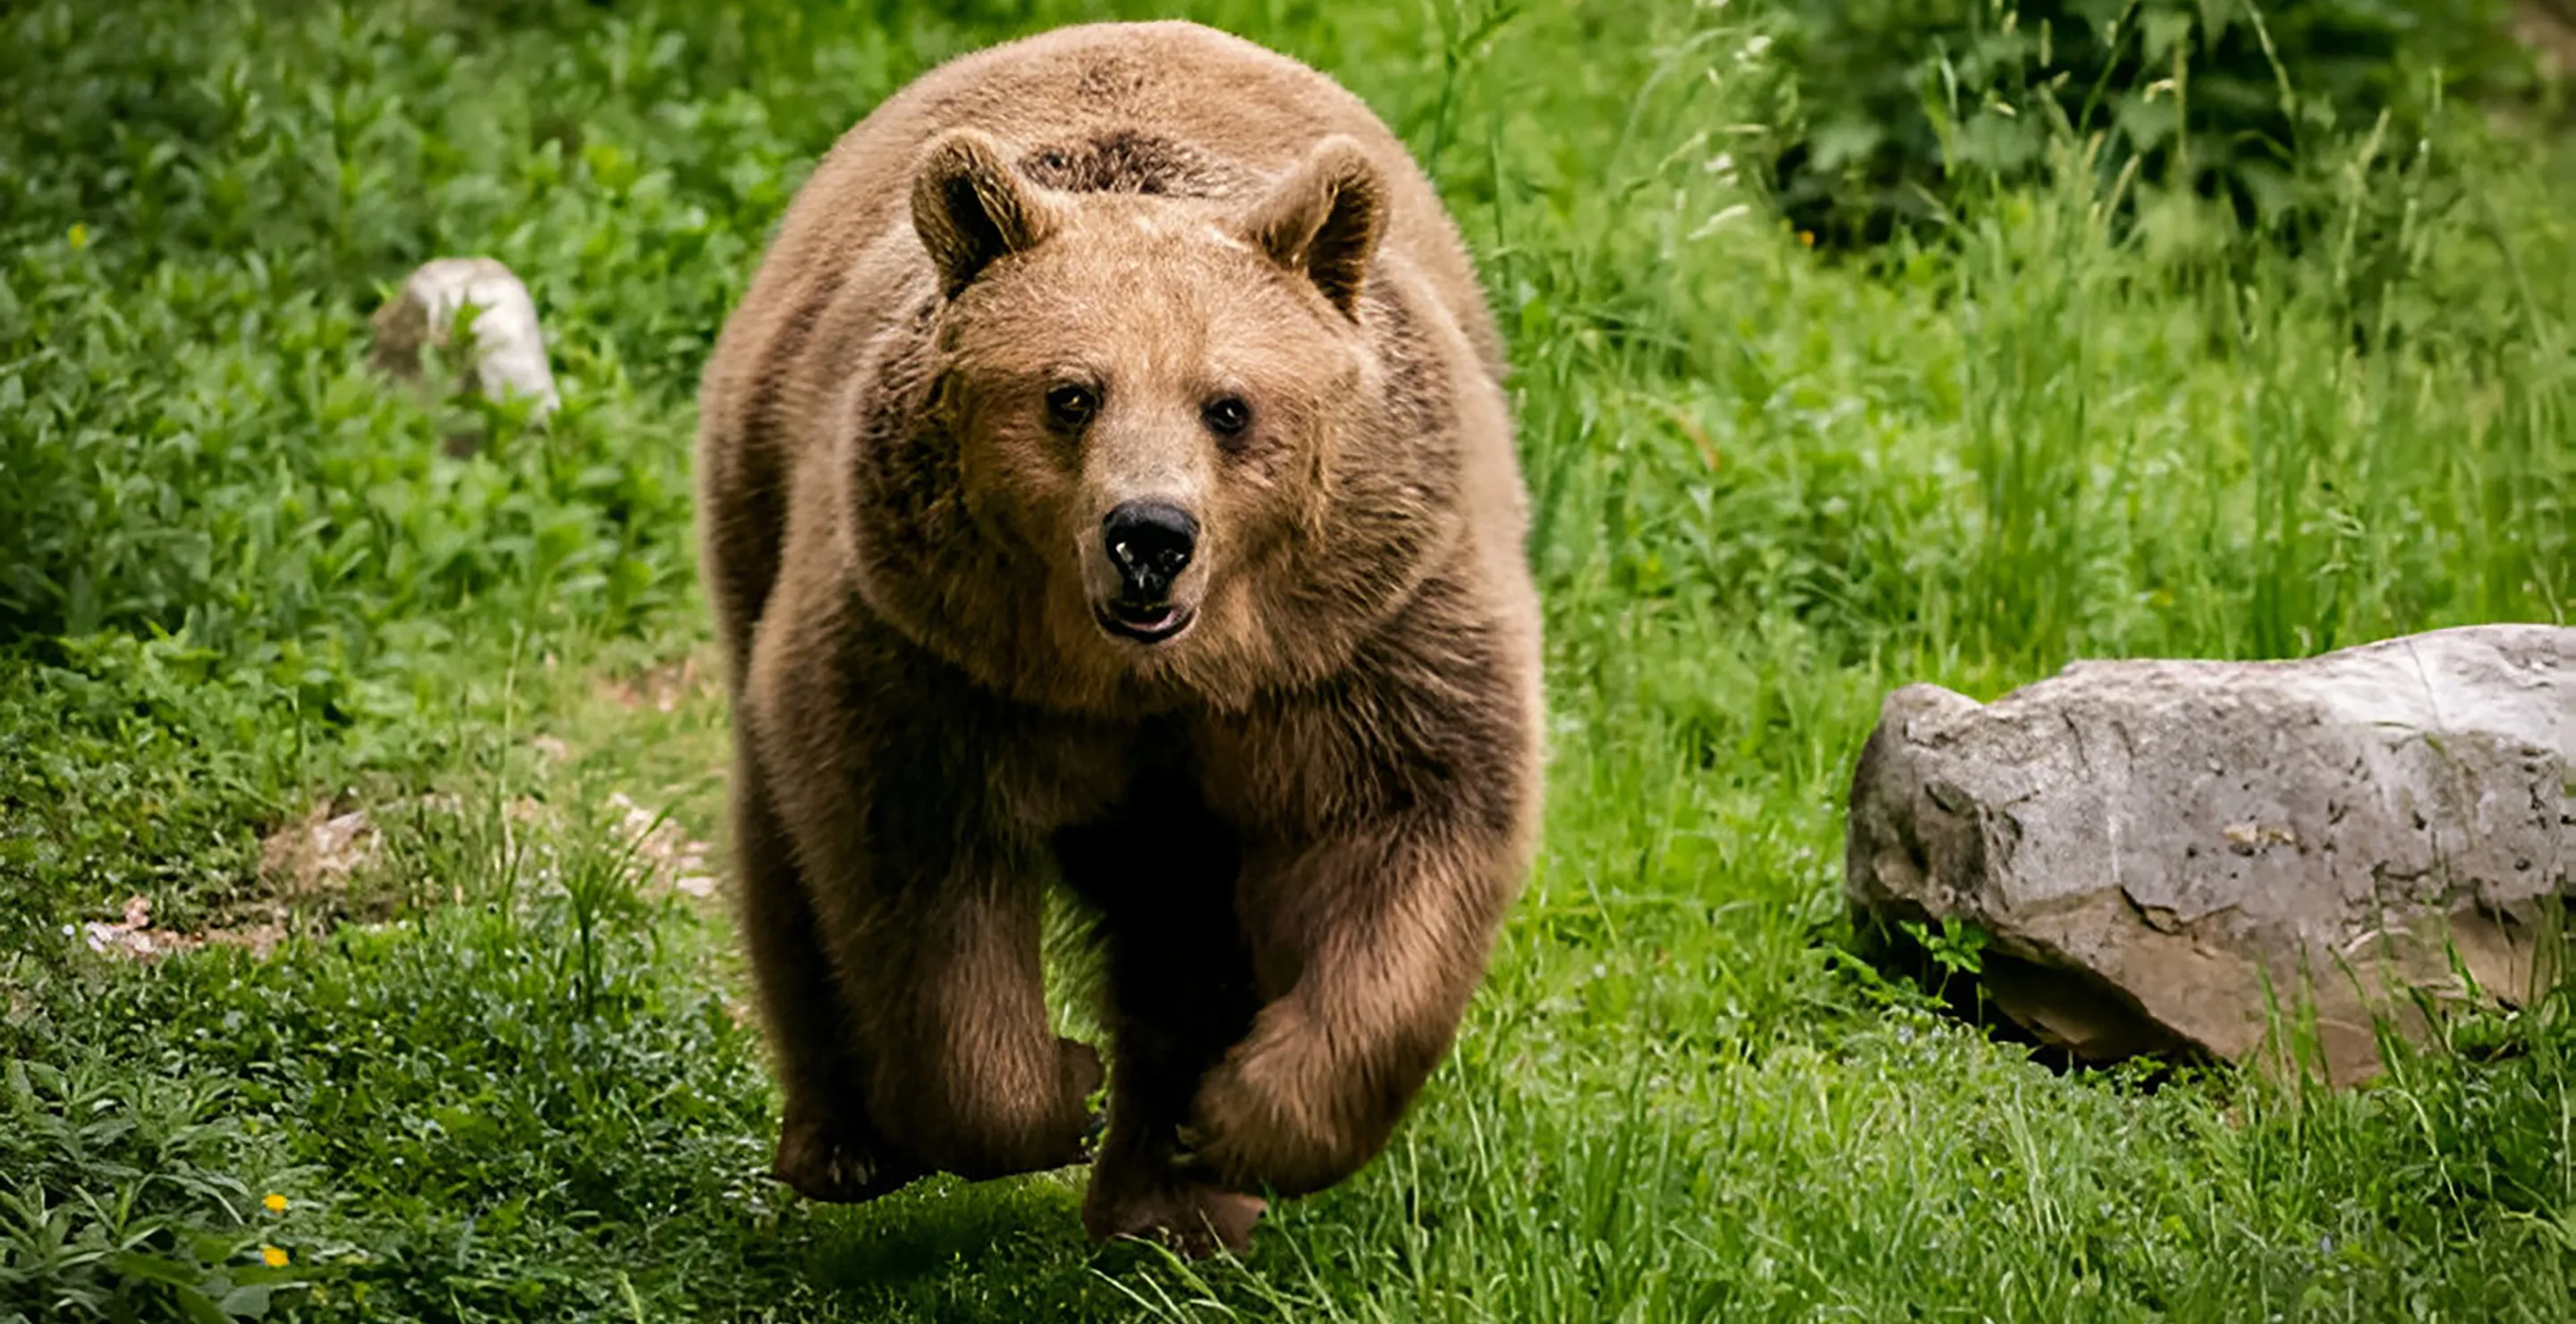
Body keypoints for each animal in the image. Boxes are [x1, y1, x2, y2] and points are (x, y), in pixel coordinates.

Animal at [695, 21, 1535, 1252]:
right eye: (1070, 395)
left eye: (1228, 405)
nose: (1150, 536)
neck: (1147, 679)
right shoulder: (938, 653)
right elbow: (917, 874)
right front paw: (1057, 1087)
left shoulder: (1358, 638)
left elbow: (1410, 823)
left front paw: (1242, 1115)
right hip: (764, 516)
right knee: (787, 854)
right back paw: (848, 1144)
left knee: (1184, 924)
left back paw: (1173, 1202)